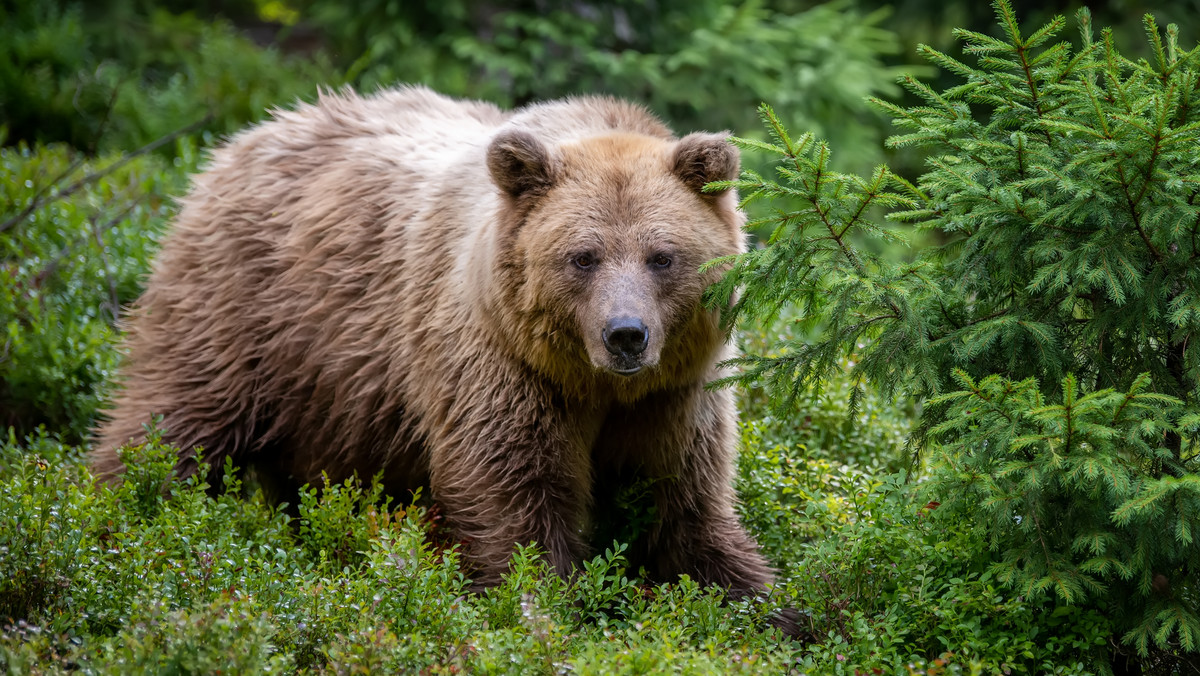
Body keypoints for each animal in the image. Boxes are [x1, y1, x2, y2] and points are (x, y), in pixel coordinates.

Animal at [98, 83, 782, 602]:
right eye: (583, 257)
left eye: (662, 256)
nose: (626, 336)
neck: (590, 384)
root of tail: (243, 138)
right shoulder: (498, 364)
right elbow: (514, 494)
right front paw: (538, 602)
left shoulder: (677, 393)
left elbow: (685, 502)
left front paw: (763, 603)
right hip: (246, 315)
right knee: (171, 421)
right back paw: (120, 513)